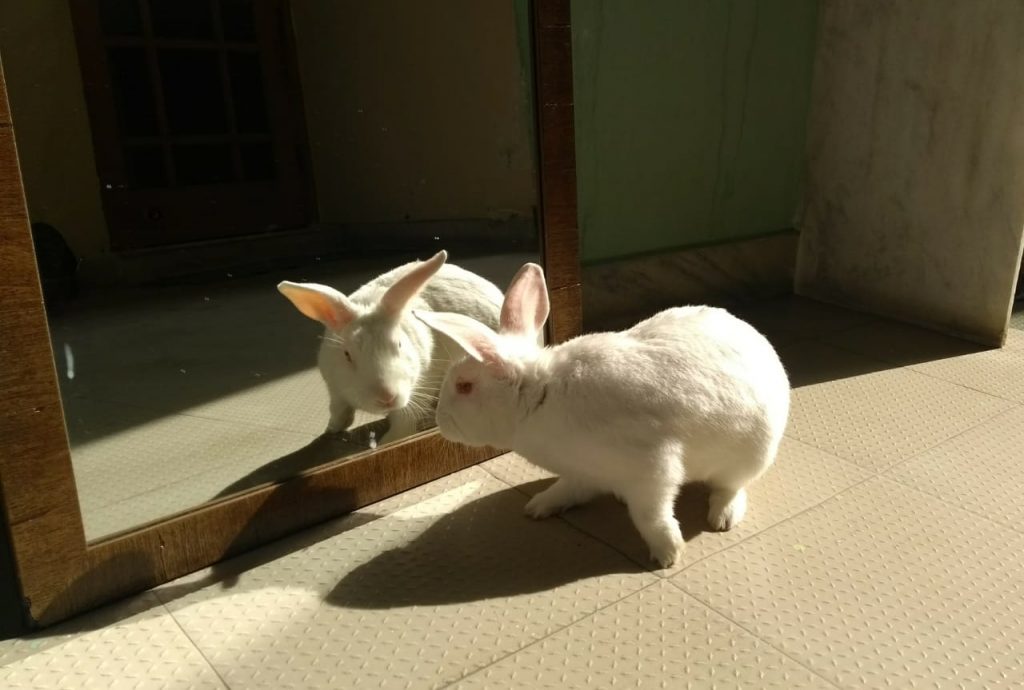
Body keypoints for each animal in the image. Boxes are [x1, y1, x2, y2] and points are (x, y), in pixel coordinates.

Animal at [280, 249, 503, 444]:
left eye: (399, 344)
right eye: (347, 354)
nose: (386, 397)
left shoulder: (424, 382)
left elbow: (403, 422)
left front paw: (387, 442)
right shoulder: (335, 390)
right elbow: (339, 411)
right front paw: (331, 430)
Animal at [411, 262, 786, 565]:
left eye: (464, 386)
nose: (441, 422)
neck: (540, 396)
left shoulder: (652, 471)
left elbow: (652, 517)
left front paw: (668, 554)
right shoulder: (582, 473)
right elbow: (569, 490)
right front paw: (539, 507)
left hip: (749, 456)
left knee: (731, 487)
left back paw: (722, 517)